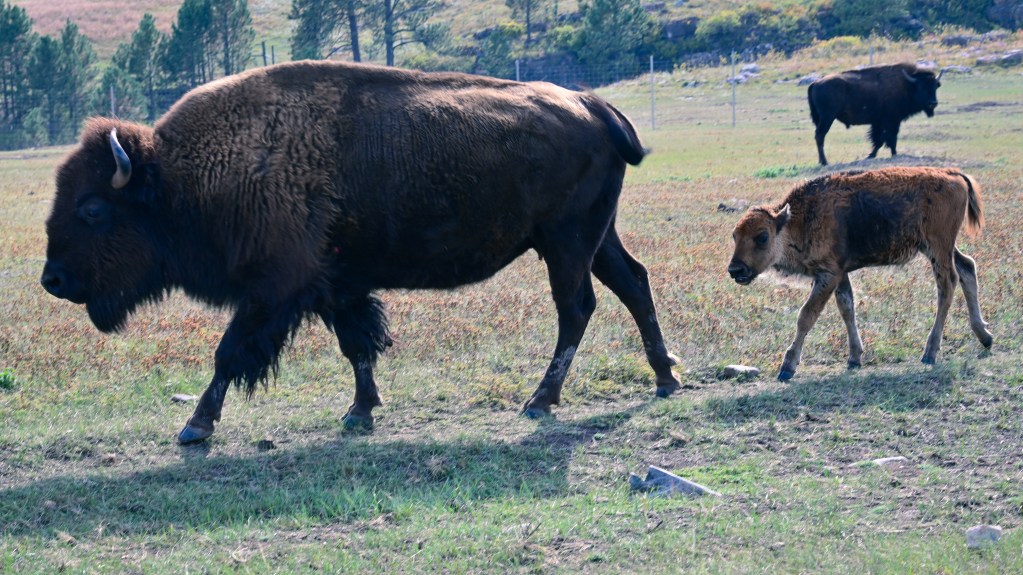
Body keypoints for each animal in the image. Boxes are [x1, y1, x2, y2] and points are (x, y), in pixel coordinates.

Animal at [41, 60, 682, 444]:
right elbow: (359, 347)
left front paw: (195, 427)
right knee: (633, 283)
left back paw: (540, 401)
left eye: (92, 209)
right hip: (595, 236)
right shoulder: (336, 285)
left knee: (576, 308)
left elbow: (229, 354)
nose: (53, 279)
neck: (186, 175)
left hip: (565, 241)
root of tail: (593, 105)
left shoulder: (274, 290)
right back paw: (665, 378)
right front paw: (360, 412)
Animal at [727, 167, 992, 381]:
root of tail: (952, 174)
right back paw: (985, 337)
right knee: (967, 267)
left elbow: (806, 316)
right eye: (734, 236)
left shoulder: (828, 275)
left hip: (938, 247)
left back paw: (929, 352)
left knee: (947, 285)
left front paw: (787, 367)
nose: (735, 269)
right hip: (939, 248)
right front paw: (854, 358)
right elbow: (847, 309)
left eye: (762, 236)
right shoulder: (839, 274)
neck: (796, 221)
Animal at [808, 62, 943, 165]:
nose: (933, 103)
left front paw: (870, 155)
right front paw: (894, 154)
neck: (907, 85)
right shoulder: (892, 121)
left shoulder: (878, 122)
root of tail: (816, 82)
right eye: (921, 87)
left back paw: (822, 161)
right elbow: (890, 138)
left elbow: (878, 140)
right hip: (827, 118)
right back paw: (824, 162)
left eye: (935, 86)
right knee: (820, 135)